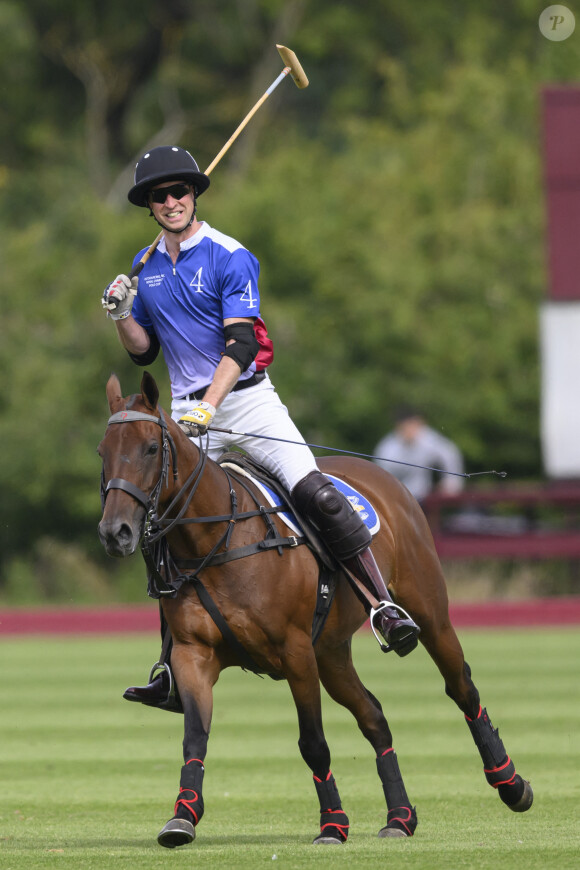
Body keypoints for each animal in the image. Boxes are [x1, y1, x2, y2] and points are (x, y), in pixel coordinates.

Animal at [97, 372, 532, 852]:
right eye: (102, 452)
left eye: (150, 449)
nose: (115, 532)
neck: (219, 539)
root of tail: (384, 476)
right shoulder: (194, 655)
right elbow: (195, 736)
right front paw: (182, 817)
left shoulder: (295, 653)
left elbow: (313, 743)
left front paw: (333, 825)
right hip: (332, 652)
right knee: (374, 717)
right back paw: (400, 817)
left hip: (428, 613)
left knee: (462, 688)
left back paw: (511, 784)